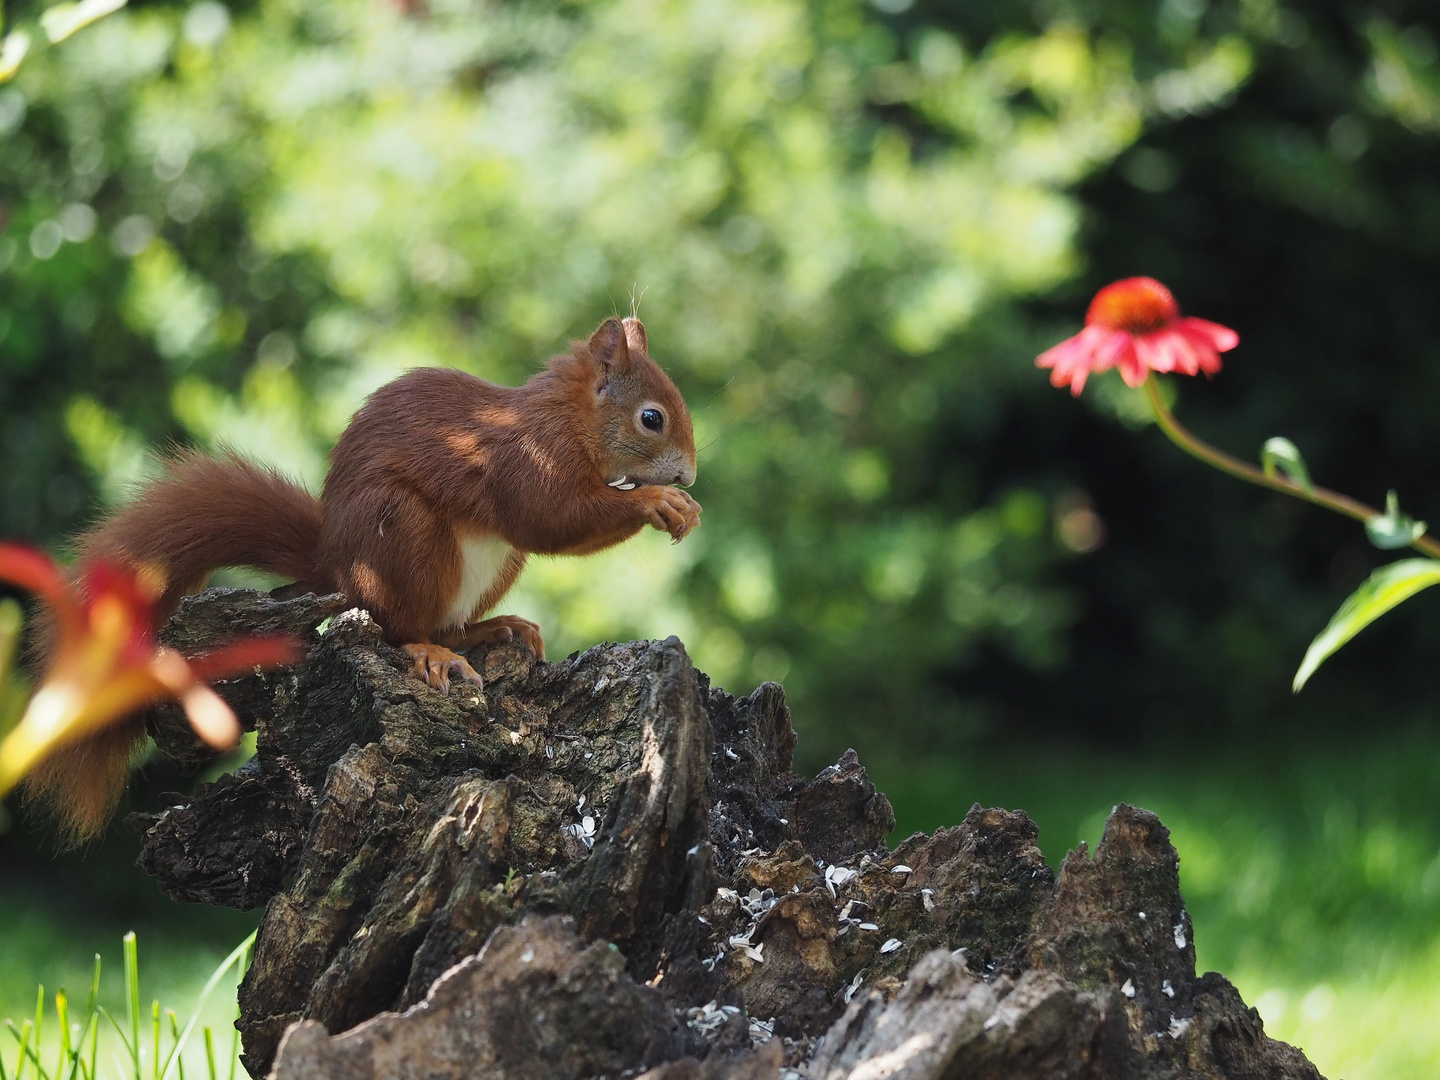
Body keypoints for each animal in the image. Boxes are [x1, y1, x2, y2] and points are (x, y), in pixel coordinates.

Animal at [22, 316, 696, 852]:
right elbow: (551, 518)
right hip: (404, 536)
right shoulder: (528, 460)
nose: (689, 474)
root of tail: (336, 564)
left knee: (450, 622)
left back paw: (492, 628)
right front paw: (657, 503)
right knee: (396, 625)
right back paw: (428, 653)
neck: (571, 419)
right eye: (651, 418)